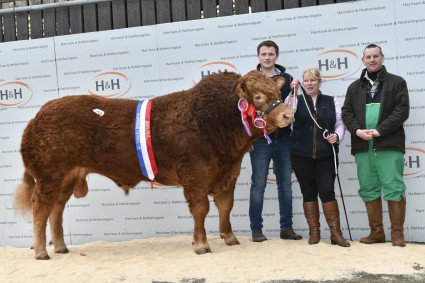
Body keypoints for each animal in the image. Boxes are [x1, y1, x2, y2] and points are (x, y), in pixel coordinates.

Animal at [12, 70, 292, 260]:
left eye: (279, 94)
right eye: (257, 96)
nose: (288, 114)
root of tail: (38, 117)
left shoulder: (227, 174)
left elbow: (226, 206)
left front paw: (230, 238)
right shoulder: (194, 174)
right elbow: (200, 209)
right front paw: (201, 245)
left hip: (67, 176)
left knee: (56, 210)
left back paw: (61, 247)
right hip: (48, 176)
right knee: (41, 209)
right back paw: (41, 252)